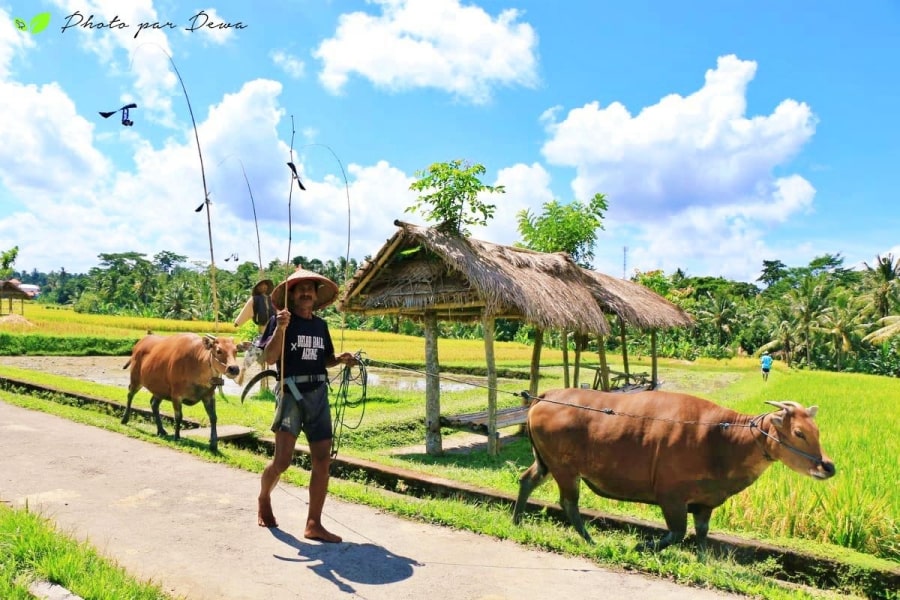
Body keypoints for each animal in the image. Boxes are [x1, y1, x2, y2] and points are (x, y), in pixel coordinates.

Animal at [512, 390, 836, 548]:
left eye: (817, 431)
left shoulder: (705, 504)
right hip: (565, 469)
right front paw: (642, 546)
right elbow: (677, 533)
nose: (828, 466)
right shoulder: (671, 498)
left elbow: (702, 536)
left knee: (526, 480)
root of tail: (543, 398)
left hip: (545, 463)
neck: (721, 439)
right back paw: (590, 540)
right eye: (798, 433)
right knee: (569, 503)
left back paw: (517, 521)